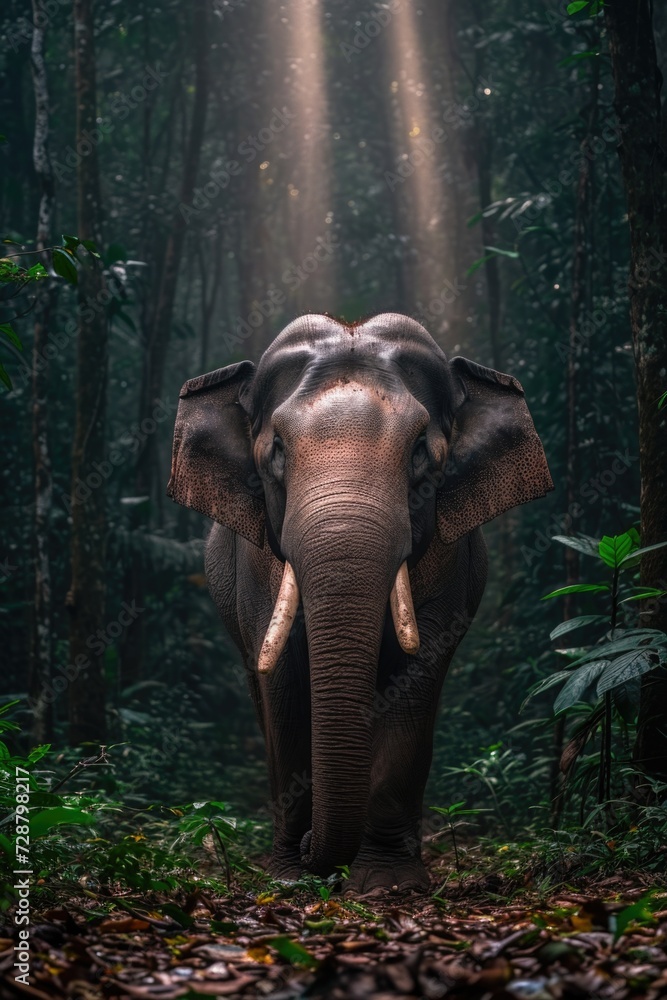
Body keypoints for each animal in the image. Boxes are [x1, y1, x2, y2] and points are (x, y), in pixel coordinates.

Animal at [167, 312, 553, 893]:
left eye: (420, 451)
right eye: (277, 450)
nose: (313, 851)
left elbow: (414, 679)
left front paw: (388, 883)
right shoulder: (257, 565)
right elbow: (283, 689)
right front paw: (290, 877)